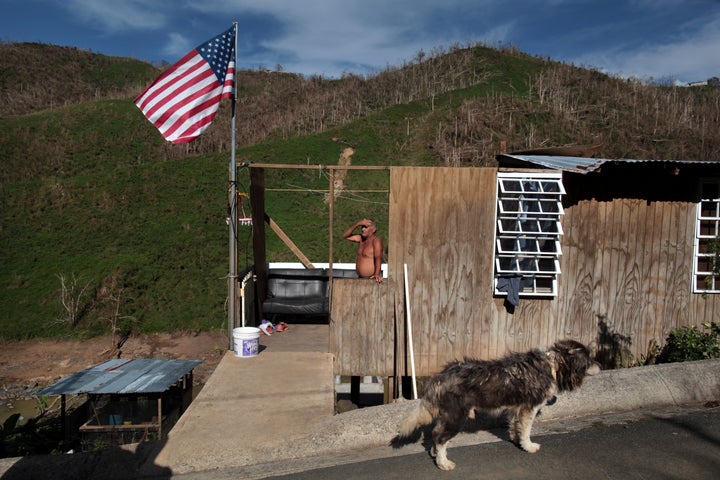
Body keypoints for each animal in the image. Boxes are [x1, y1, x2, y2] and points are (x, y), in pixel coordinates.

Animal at [396, 340, 600, 470]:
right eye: (589, 359)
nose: (601, 365)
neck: (551, 365)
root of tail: (441, 376)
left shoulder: (516, 409)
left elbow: (515, 427)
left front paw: (517, 441)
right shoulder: (529, 408)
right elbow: (526, 431)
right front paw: (529, 446)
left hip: (448, 415)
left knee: (436, 433)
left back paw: (436, 453)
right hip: (457, 416)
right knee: (439, 436)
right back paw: (443, 462)